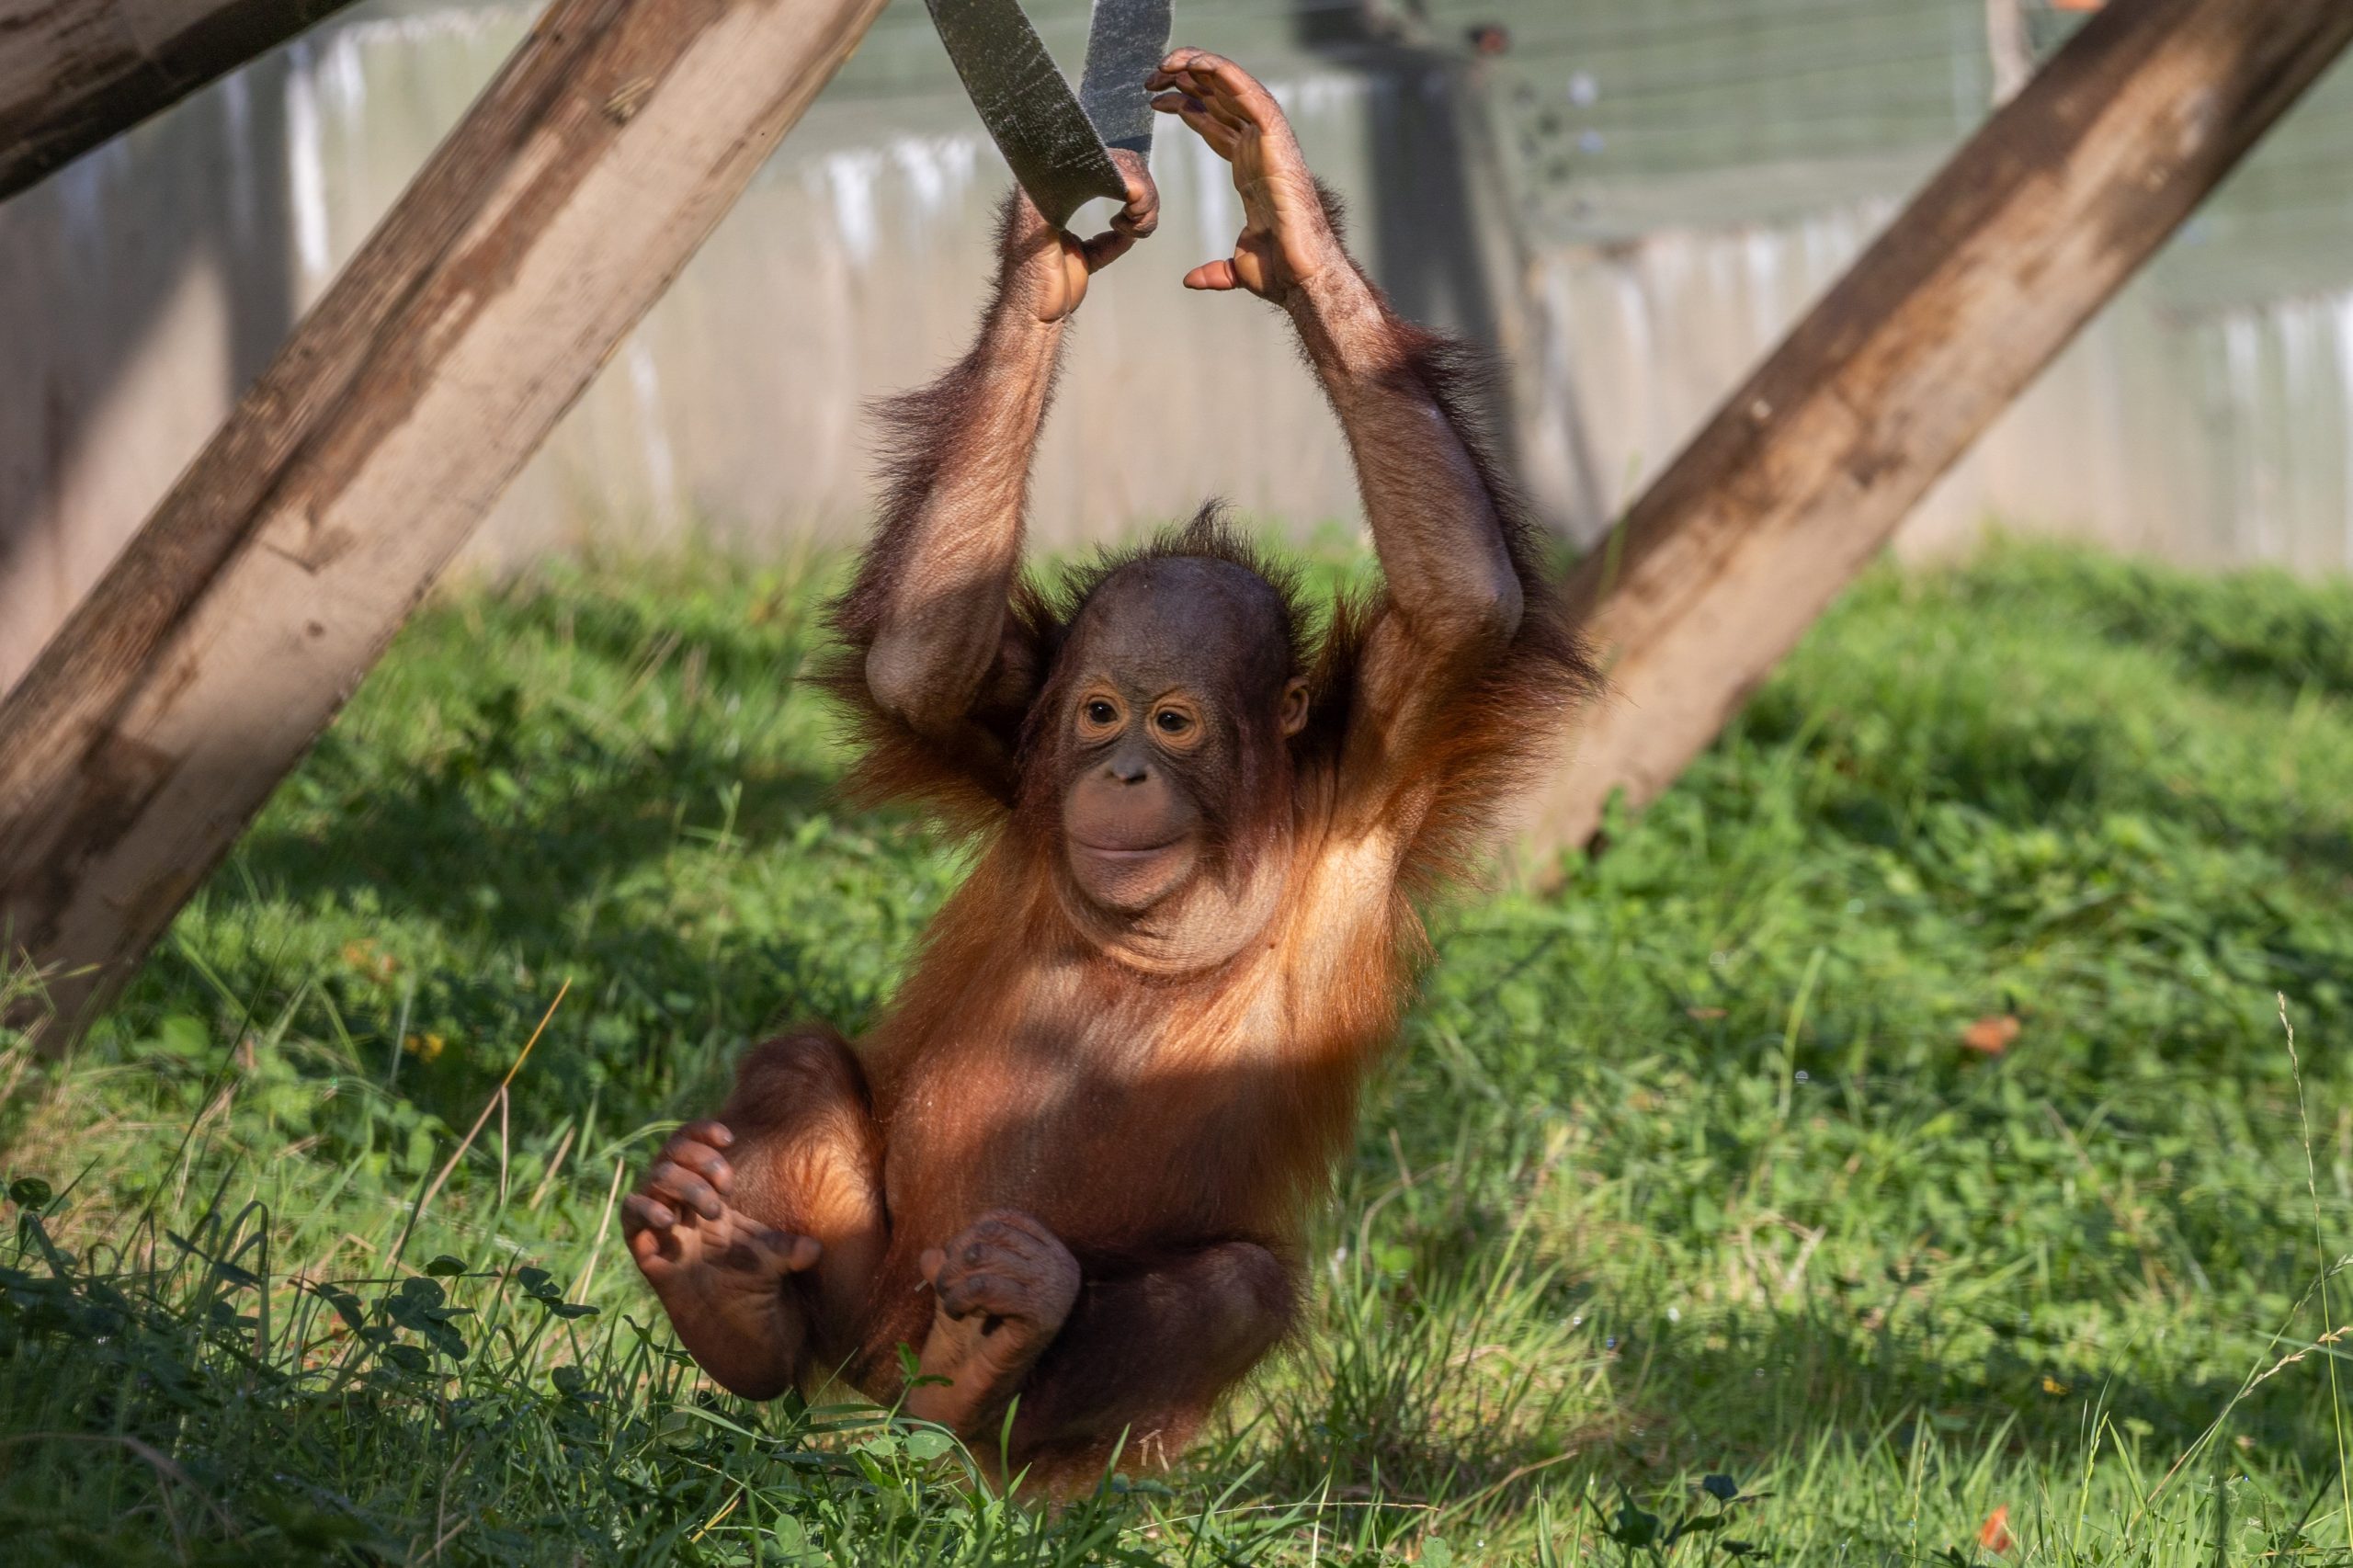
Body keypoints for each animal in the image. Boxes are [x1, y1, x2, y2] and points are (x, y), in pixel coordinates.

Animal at [622, 48, 1596, 1492]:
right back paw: (727, 1296)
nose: (1123, 773)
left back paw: (992, 1359)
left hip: (1066, 1425)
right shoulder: (1009, 739)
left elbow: (1464, 599)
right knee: (799, 1066)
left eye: (1174, 724)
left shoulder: (1385, 761)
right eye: (1098, 712)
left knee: (1226, 1288)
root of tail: (887, 1396)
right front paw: (1046, 261)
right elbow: (918, 661)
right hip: (868, 1311)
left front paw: (1291, 221)